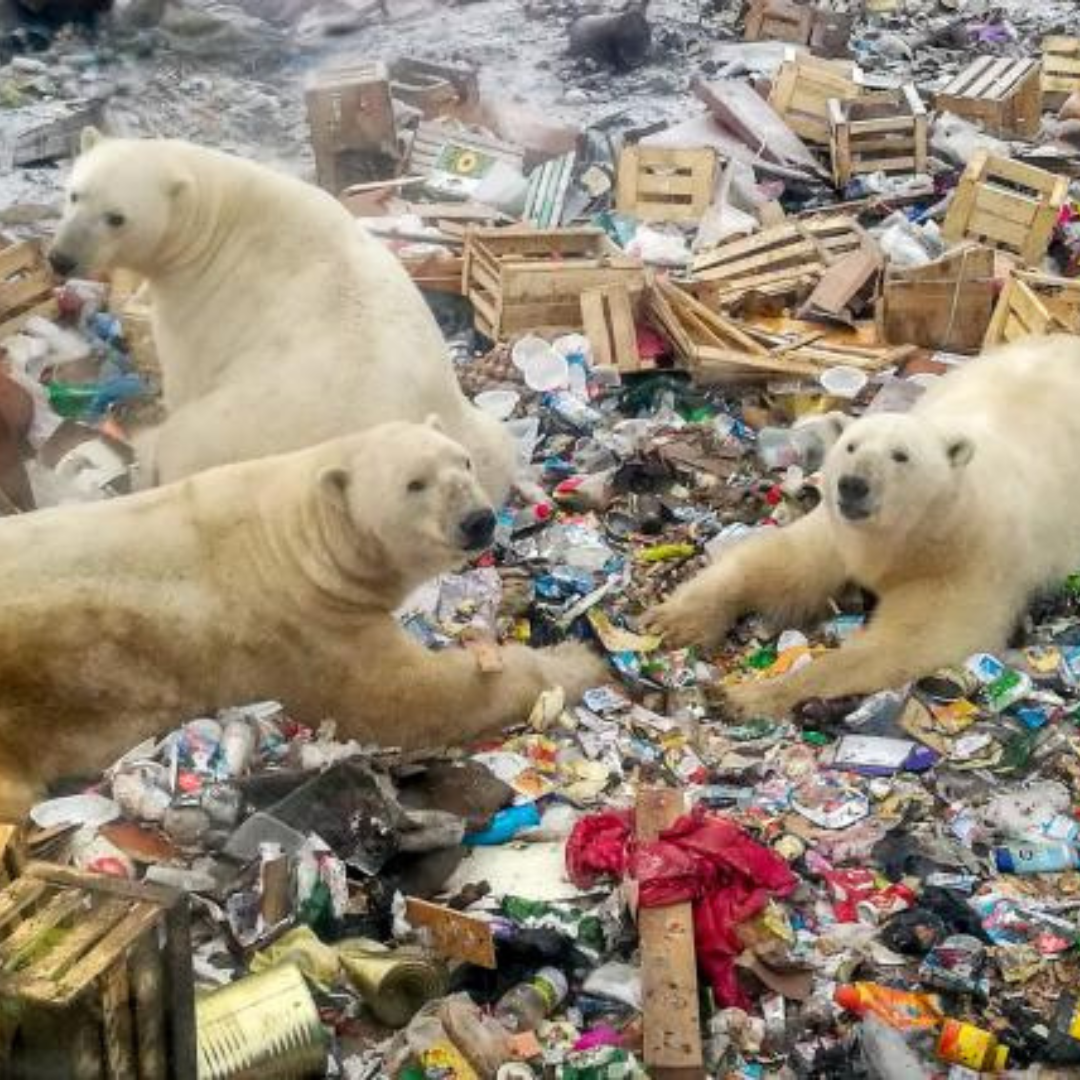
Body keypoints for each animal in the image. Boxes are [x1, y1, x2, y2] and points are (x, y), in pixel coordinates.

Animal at [0, 419, 606, 819]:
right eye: (414, 483)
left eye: (463, 461)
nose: (478, 520)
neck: (296, 541)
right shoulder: (303, 627)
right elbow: (407, 698)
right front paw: (576, 663)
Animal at [47, 130, 516, 504]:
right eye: (74, 194)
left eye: (116, 217)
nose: (61, 258)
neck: (219, 213)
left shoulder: (201, 299)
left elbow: (184, 374)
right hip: (471, 429)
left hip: (232, 434)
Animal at [646, 334, 1080, 719]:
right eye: (851, 446)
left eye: (900, 455)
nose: (852, 485)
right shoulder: (841, 532)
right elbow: (780, 566)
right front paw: (674, 621)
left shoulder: (965, 561)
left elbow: (911, 642)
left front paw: (745, 696)